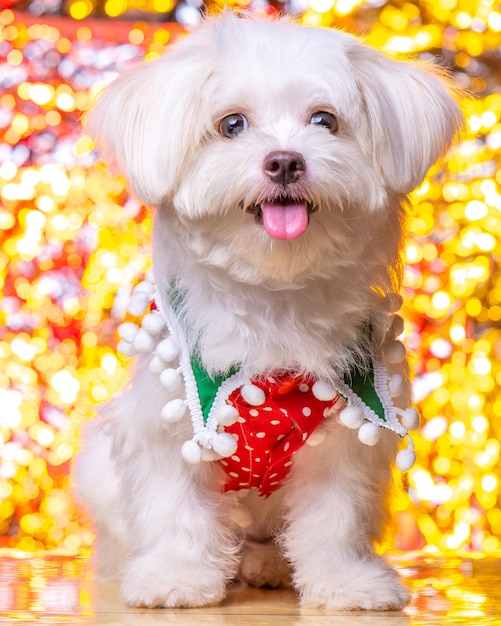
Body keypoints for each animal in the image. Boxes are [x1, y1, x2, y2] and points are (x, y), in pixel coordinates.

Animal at [76, 12, 462, 608]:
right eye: (232, 124)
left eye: (325, 120)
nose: (284, 160)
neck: (277, 296)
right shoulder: (168, 427)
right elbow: (176, 508)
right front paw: (177, 576)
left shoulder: (348, 435)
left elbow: (335, 516)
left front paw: (345, 580)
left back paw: (267, 563)